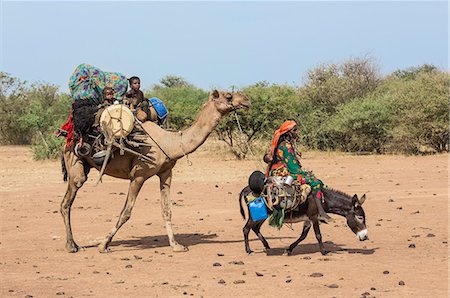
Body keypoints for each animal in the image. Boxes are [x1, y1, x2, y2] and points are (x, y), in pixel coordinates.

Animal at [60, 89, 250, 253]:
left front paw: (176, 245)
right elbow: (126, 212)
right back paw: (71, 246)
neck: (170, 144)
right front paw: (103, 245)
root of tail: (68, 134)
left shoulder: (166, 173)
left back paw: (73, 244)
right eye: (229, 96)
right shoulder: (138, 176)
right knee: (66, 203)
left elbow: (167, 210)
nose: (247, 100)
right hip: (74, 161)